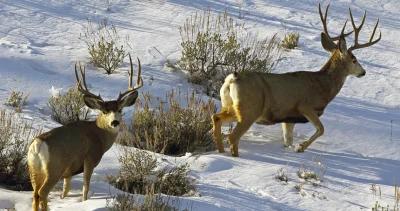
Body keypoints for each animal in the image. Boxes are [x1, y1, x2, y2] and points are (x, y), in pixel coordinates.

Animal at [27, 54, 142, 211]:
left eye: (120, 110)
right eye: (104, 111)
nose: (114, 122)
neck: (99, 135)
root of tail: (37, 145)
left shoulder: (69, 171)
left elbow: (65, 190)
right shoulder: (90, 158)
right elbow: (85, 188)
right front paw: (85, 202)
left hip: (33, 170)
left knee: (35, 194)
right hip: (54, 168)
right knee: (42, 192)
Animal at [212, 3, 382, 157]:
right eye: (354, 59)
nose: (363, 72)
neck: (324, 86)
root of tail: (232, 79)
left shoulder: (288, 118)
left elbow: (288, 140)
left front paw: (293, 147)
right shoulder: (305, 106)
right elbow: (321, 129)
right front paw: (300, 147)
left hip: (232, 106)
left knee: (216, 118)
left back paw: (220, 152)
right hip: (250, 109)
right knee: (233, 136)